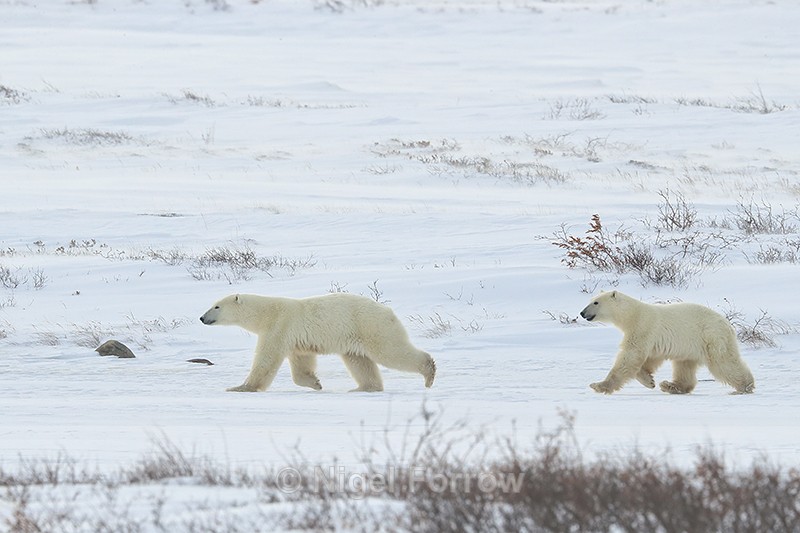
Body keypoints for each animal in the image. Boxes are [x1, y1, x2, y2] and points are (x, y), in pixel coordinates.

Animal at [200, 293, 436, 393]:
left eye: (216, 306)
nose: (202, 317)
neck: (266, 312)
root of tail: (388, 311)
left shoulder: (279, 326)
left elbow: (266, 359)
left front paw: (239, 387)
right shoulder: (295, 338)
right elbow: (301, 361)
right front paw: (315, 383)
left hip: (371, 326)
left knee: (391, 351)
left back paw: (429, 373)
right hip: (355, 335)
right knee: (359, 360)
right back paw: (364, 388)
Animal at [579, 290, 755, 395]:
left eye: (595, 302)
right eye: (591, 300)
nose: (582, 313)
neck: (633, 315)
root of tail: (728, 325)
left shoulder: (643, 328)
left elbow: (630, 356)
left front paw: (599, 385)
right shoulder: (650, 337)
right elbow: (649, 358)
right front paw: (649, 381)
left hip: (711, 337)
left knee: (723, 363)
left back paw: (745, 386)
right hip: (690, 345)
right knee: (684, 366)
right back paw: (670, 385)